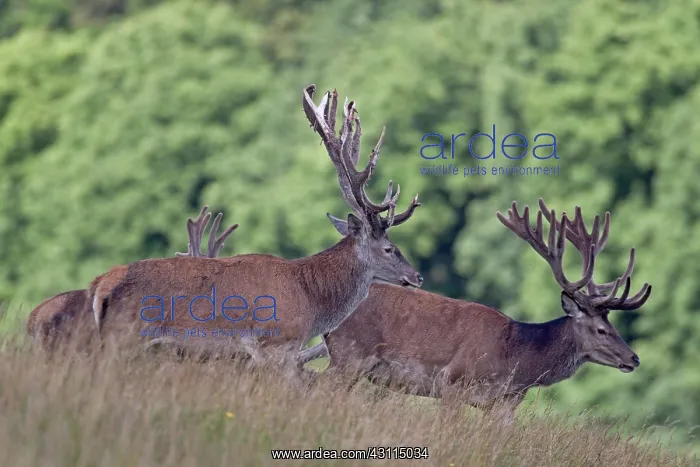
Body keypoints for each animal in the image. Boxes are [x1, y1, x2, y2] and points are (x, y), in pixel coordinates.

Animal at [84, 84, 423, 379]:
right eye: (389, 248)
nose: (417, 276)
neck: (310, 300)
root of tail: (102, 284)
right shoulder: (275, 345)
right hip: (126, 337)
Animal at [296, 199, 652, 422]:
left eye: (614, 325)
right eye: (602, 329)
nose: (634, 358)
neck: (516, 359)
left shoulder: (504, 405)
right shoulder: (454, 382)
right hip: (351, 356)